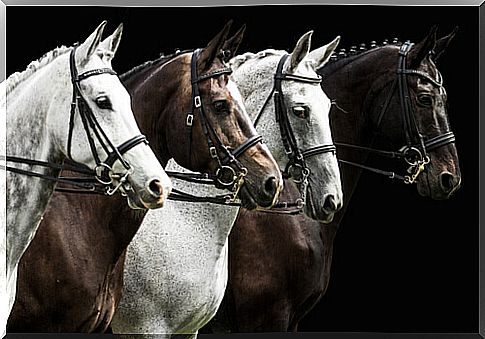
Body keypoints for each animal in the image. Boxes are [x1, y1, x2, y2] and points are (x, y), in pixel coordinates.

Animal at [111, 30, 342, 338]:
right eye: (300, 111)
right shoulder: (146, 327)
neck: (184, 219)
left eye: (327, 107)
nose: (332, 198)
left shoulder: (190, 328)